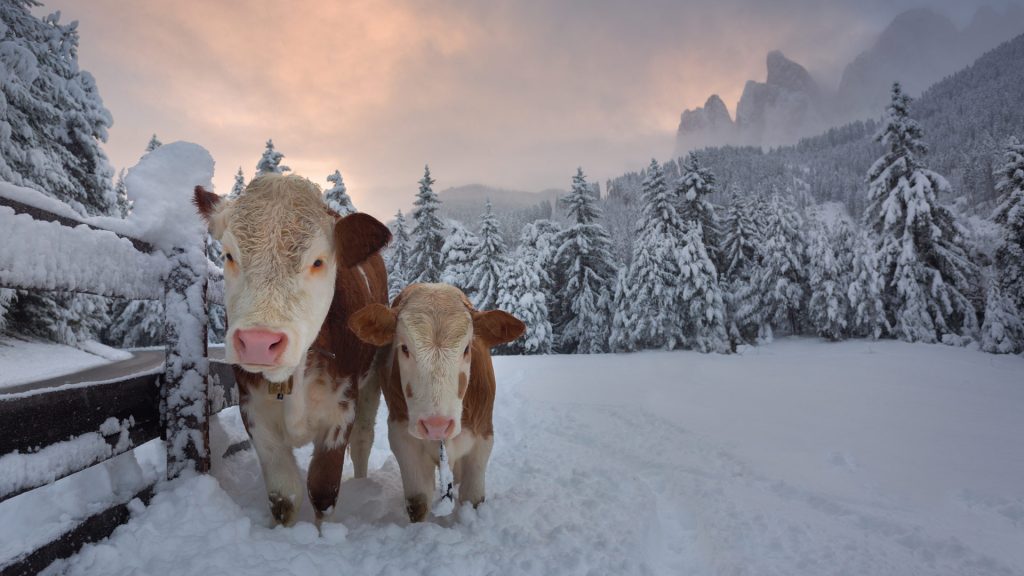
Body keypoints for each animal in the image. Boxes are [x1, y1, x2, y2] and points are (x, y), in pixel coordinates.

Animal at [192, 174, 391, 524]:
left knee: (363, 440)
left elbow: (323, 490)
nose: (258, 342)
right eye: (229, 255)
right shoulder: (254, 410)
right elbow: (284, 496)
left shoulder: (341, 409)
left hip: (371, 382)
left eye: (318, 261)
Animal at [346, 282, 524, 520]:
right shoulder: (402, 439)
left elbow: (472, 498)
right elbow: (418, 501)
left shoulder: (483, 437)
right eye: (404, 347)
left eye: (467, 348)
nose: (436, 425)